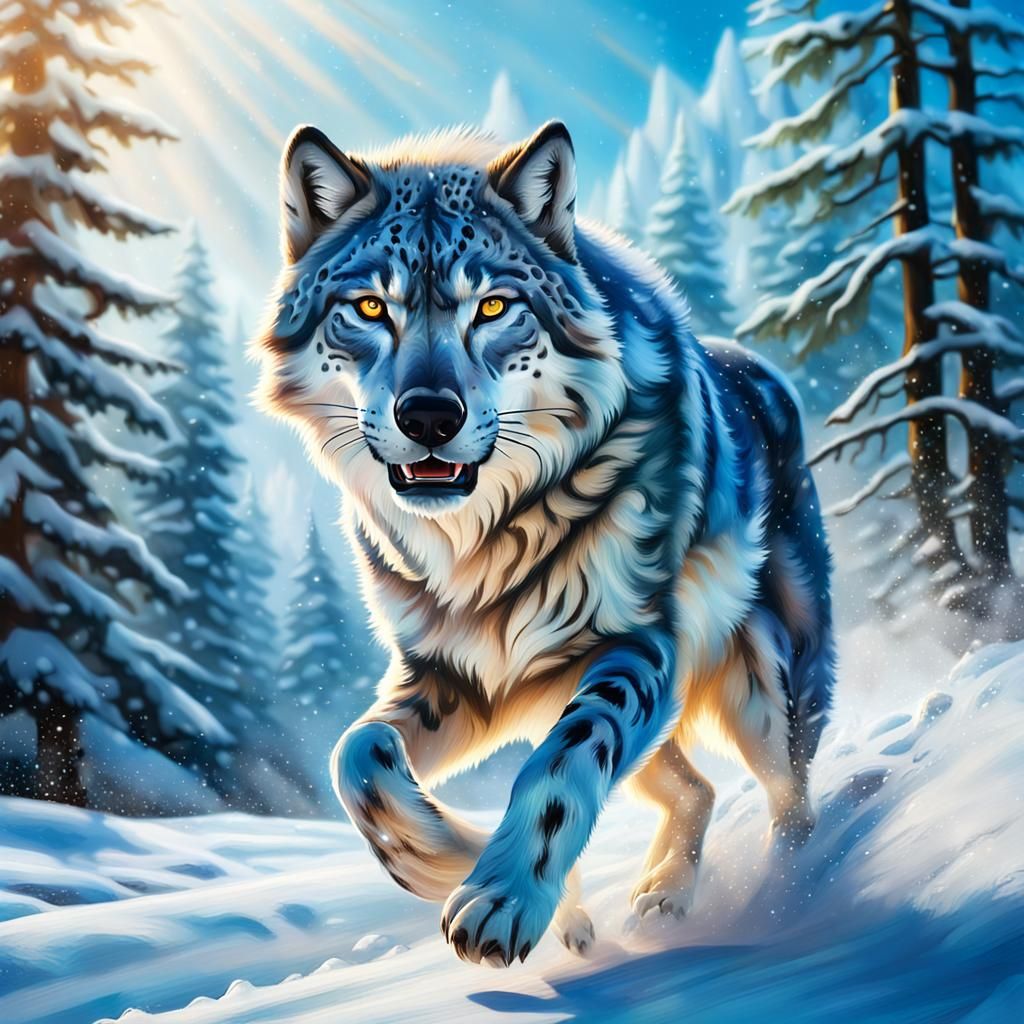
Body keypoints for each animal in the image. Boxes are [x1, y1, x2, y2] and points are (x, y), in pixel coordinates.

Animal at [255, 120, 836, 967]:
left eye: (494, 306)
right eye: (368, 307)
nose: (428, 415)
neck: (477, 551)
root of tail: (760, 366)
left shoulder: (636, 645)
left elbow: (566, 761)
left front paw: (503, 900)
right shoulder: (451, 674)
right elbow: (356, 759)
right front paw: (451, 862)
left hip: (762, 691)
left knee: (791, 803)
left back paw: (784, 901)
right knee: (697, 788)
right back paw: (661, 897)